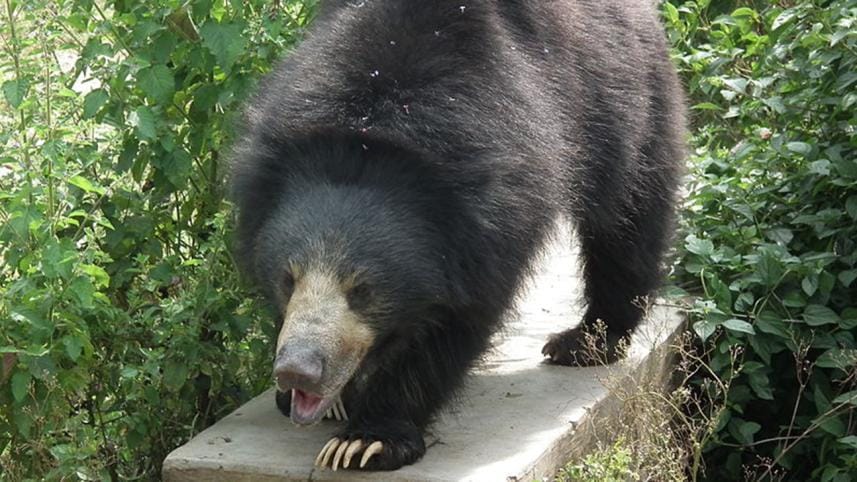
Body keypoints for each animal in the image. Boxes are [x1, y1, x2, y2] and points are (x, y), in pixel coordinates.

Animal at [230, 0, 685, 471]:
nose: (296, 371)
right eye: (288, 280)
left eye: (363, 290)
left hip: (628, 101)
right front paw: (331, 401)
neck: (372, 136)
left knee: (629, 218)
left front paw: (367, 440)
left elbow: (456, 322)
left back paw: (586, 342)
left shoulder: (492, 219)